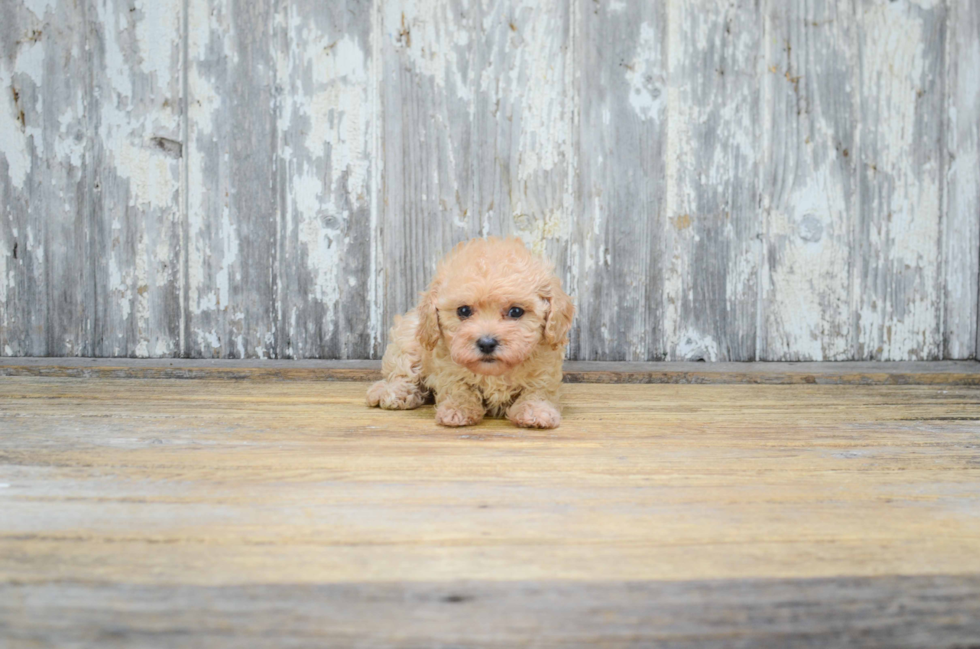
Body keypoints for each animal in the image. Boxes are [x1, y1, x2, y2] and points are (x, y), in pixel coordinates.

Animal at [372, 235, 580, 428]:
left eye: (516, 311)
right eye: (464, 311)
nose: (487, 344)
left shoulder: (544, 370)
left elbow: (537, 390)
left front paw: (535, 411)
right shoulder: (448, 368)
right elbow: (459, 388)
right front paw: (457, 409)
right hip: (408, 342)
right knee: (401, 374)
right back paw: (392, 393)